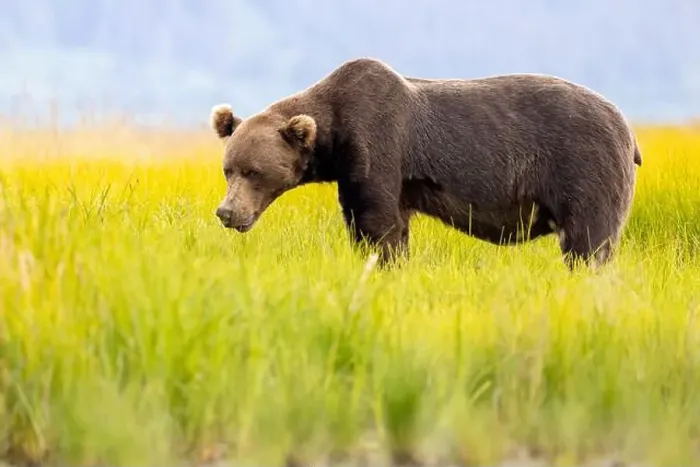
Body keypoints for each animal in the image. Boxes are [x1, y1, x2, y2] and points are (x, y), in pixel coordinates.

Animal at [209, 57, 642, 270]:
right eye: (228, 170)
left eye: (254, 171)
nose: (226, 212)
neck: (334, 137)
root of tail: (627, 124)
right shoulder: (373, 177)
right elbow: (385, 223)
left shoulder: (378, 143)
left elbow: (376, 224)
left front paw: (383, 265)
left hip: (584, 164)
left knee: (590, 239)